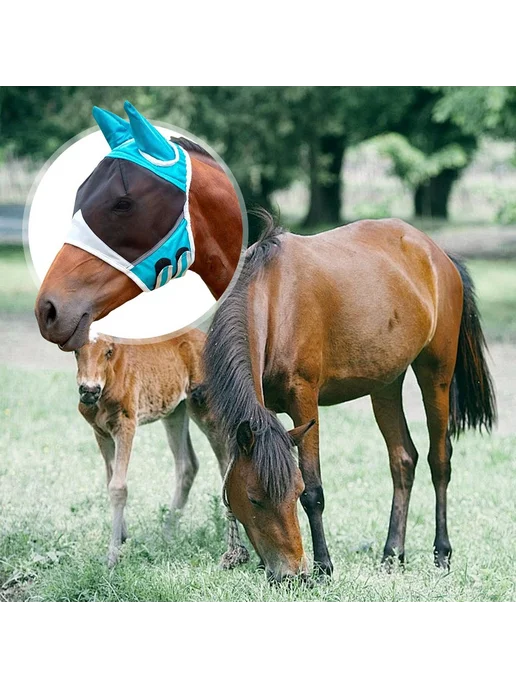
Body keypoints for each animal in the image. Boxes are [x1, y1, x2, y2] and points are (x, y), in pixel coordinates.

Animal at [75, 329, 249, 568]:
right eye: (75, 351)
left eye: (108, 351)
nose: (89, 390)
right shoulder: (100, 432)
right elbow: (110, 481)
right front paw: (122, 538)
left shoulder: (126, 425)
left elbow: (119, 487)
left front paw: (112, 557)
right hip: (175, 411)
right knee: (188, 465)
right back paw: (167, 534)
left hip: (205, 410)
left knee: (224, 464)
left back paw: (230, 545)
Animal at [202, 213, 496, 583]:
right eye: (253, 499)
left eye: (294, 492)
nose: (290, 574)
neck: (273, 299)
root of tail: (439, 255)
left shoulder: (304, 400)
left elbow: (315, 490)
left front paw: (324, 567)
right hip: (386, 384)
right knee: (403, 460)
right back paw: (391, 555)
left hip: (436, 374)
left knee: (439, 461)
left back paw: (441, 554)